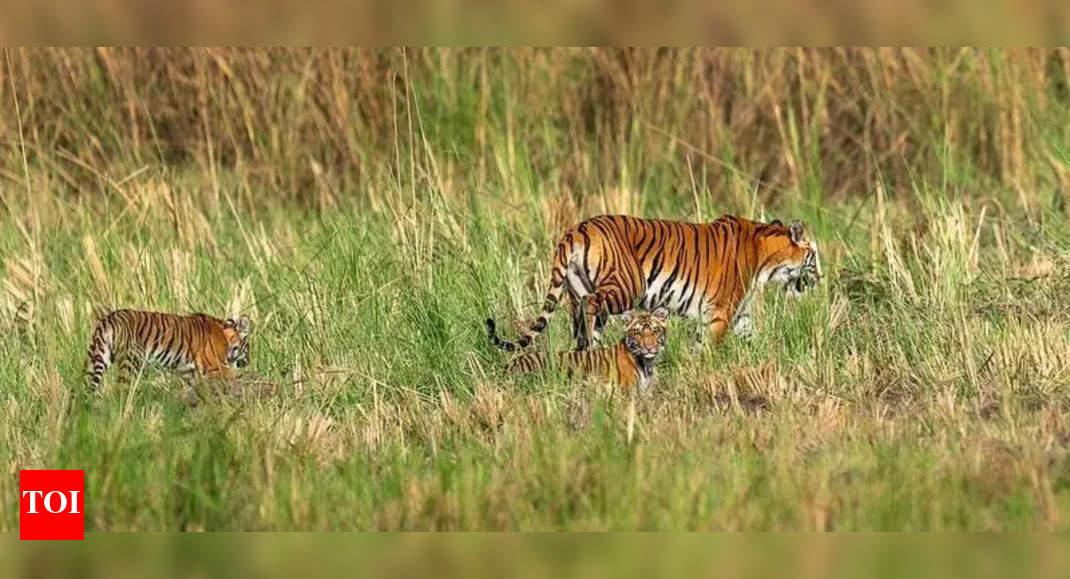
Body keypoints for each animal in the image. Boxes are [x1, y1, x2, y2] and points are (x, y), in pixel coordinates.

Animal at [85, 309, 252, 393]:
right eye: (248, 347)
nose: (248, 361)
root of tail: (109, 318)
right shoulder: (215, 366)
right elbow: (237, 373)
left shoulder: (190, 373)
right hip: (130, 362)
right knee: (120, 390)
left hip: (96, 359)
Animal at [486, 214, 820, 351]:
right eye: (814, 256)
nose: (820, 279)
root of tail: (576, 230)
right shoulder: (721, 312)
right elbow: (710, 343)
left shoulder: (738, 315)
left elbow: (752, 336)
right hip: (627, 285)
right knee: (592, 306)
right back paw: (592, 346)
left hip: (574, 290)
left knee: (580, 316)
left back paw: (585, 351)